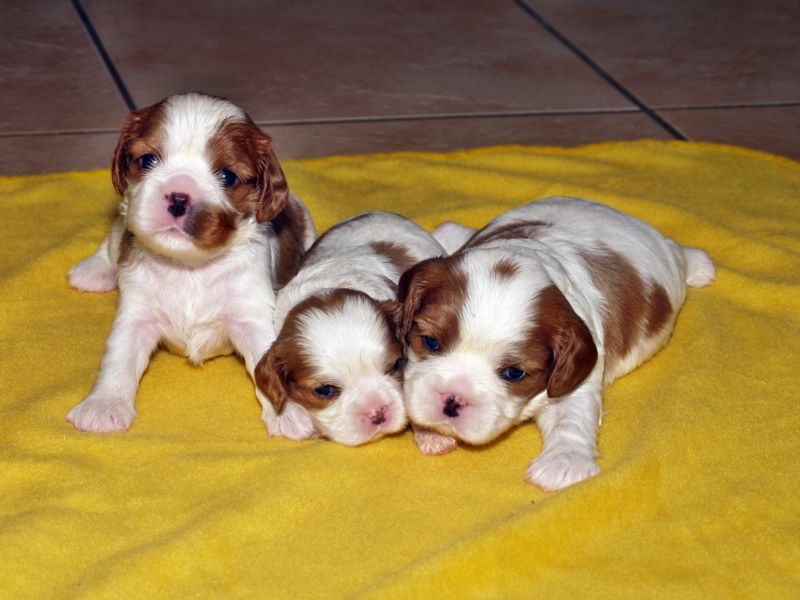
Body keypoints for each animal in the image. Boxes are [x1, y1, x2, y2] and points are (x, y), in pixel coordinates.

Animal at [67, 92, 315, 433]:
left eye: (227, 176)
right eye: (148, 160)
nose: (179, 199)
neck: (190, 267)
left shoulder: (250, 313)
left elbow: (266, 355)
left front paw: (288, 414)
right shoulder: (136, 312)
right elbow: (119, 357)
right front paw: (104, 405)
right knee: (113, 239)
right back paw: (93, 270)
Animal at [397, 197, 716, 491]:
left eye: (514, 373)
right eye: (430, 342)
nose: (452, 400)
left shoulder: (576, 378)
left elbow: (571, 416)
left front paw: (564, 463)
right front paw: (432, 433)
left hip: (672, 259)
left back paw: (700, 265)